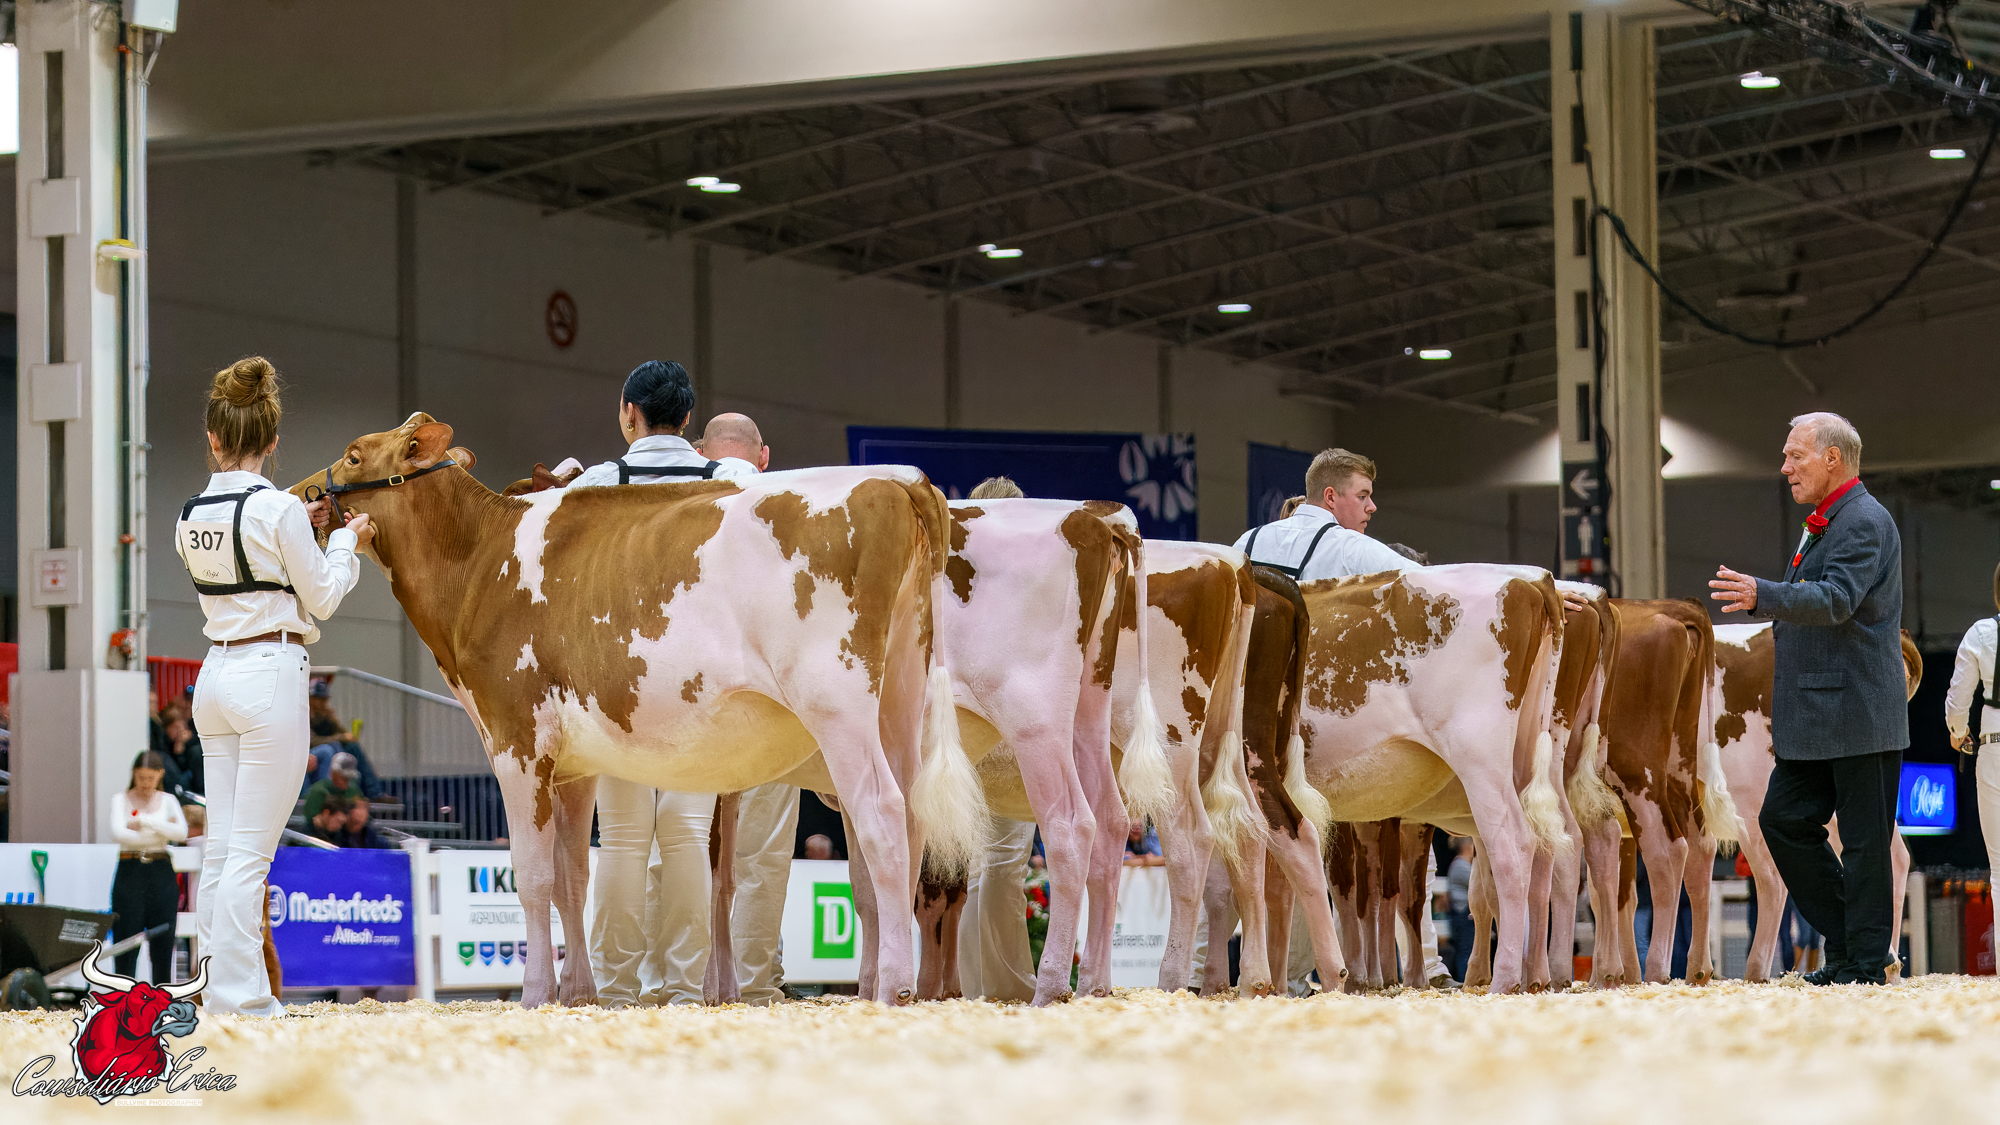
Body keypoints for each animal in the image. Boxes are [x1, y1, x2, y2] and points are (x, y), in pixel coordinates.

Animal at [293, 413, 987, 1007]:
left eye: (353, 453)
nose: (301, 495)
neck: (478, 563)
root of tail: (897, 481)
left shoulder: (516, 738)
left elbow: (531, 874)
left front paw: (536, 993)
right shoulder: (571, 764)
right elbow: (573, 877)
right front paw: (578, 994)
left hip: (836, 702)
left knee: (884, 815)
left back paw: (892, 985)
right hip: (901, 694)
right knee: (914, 820)